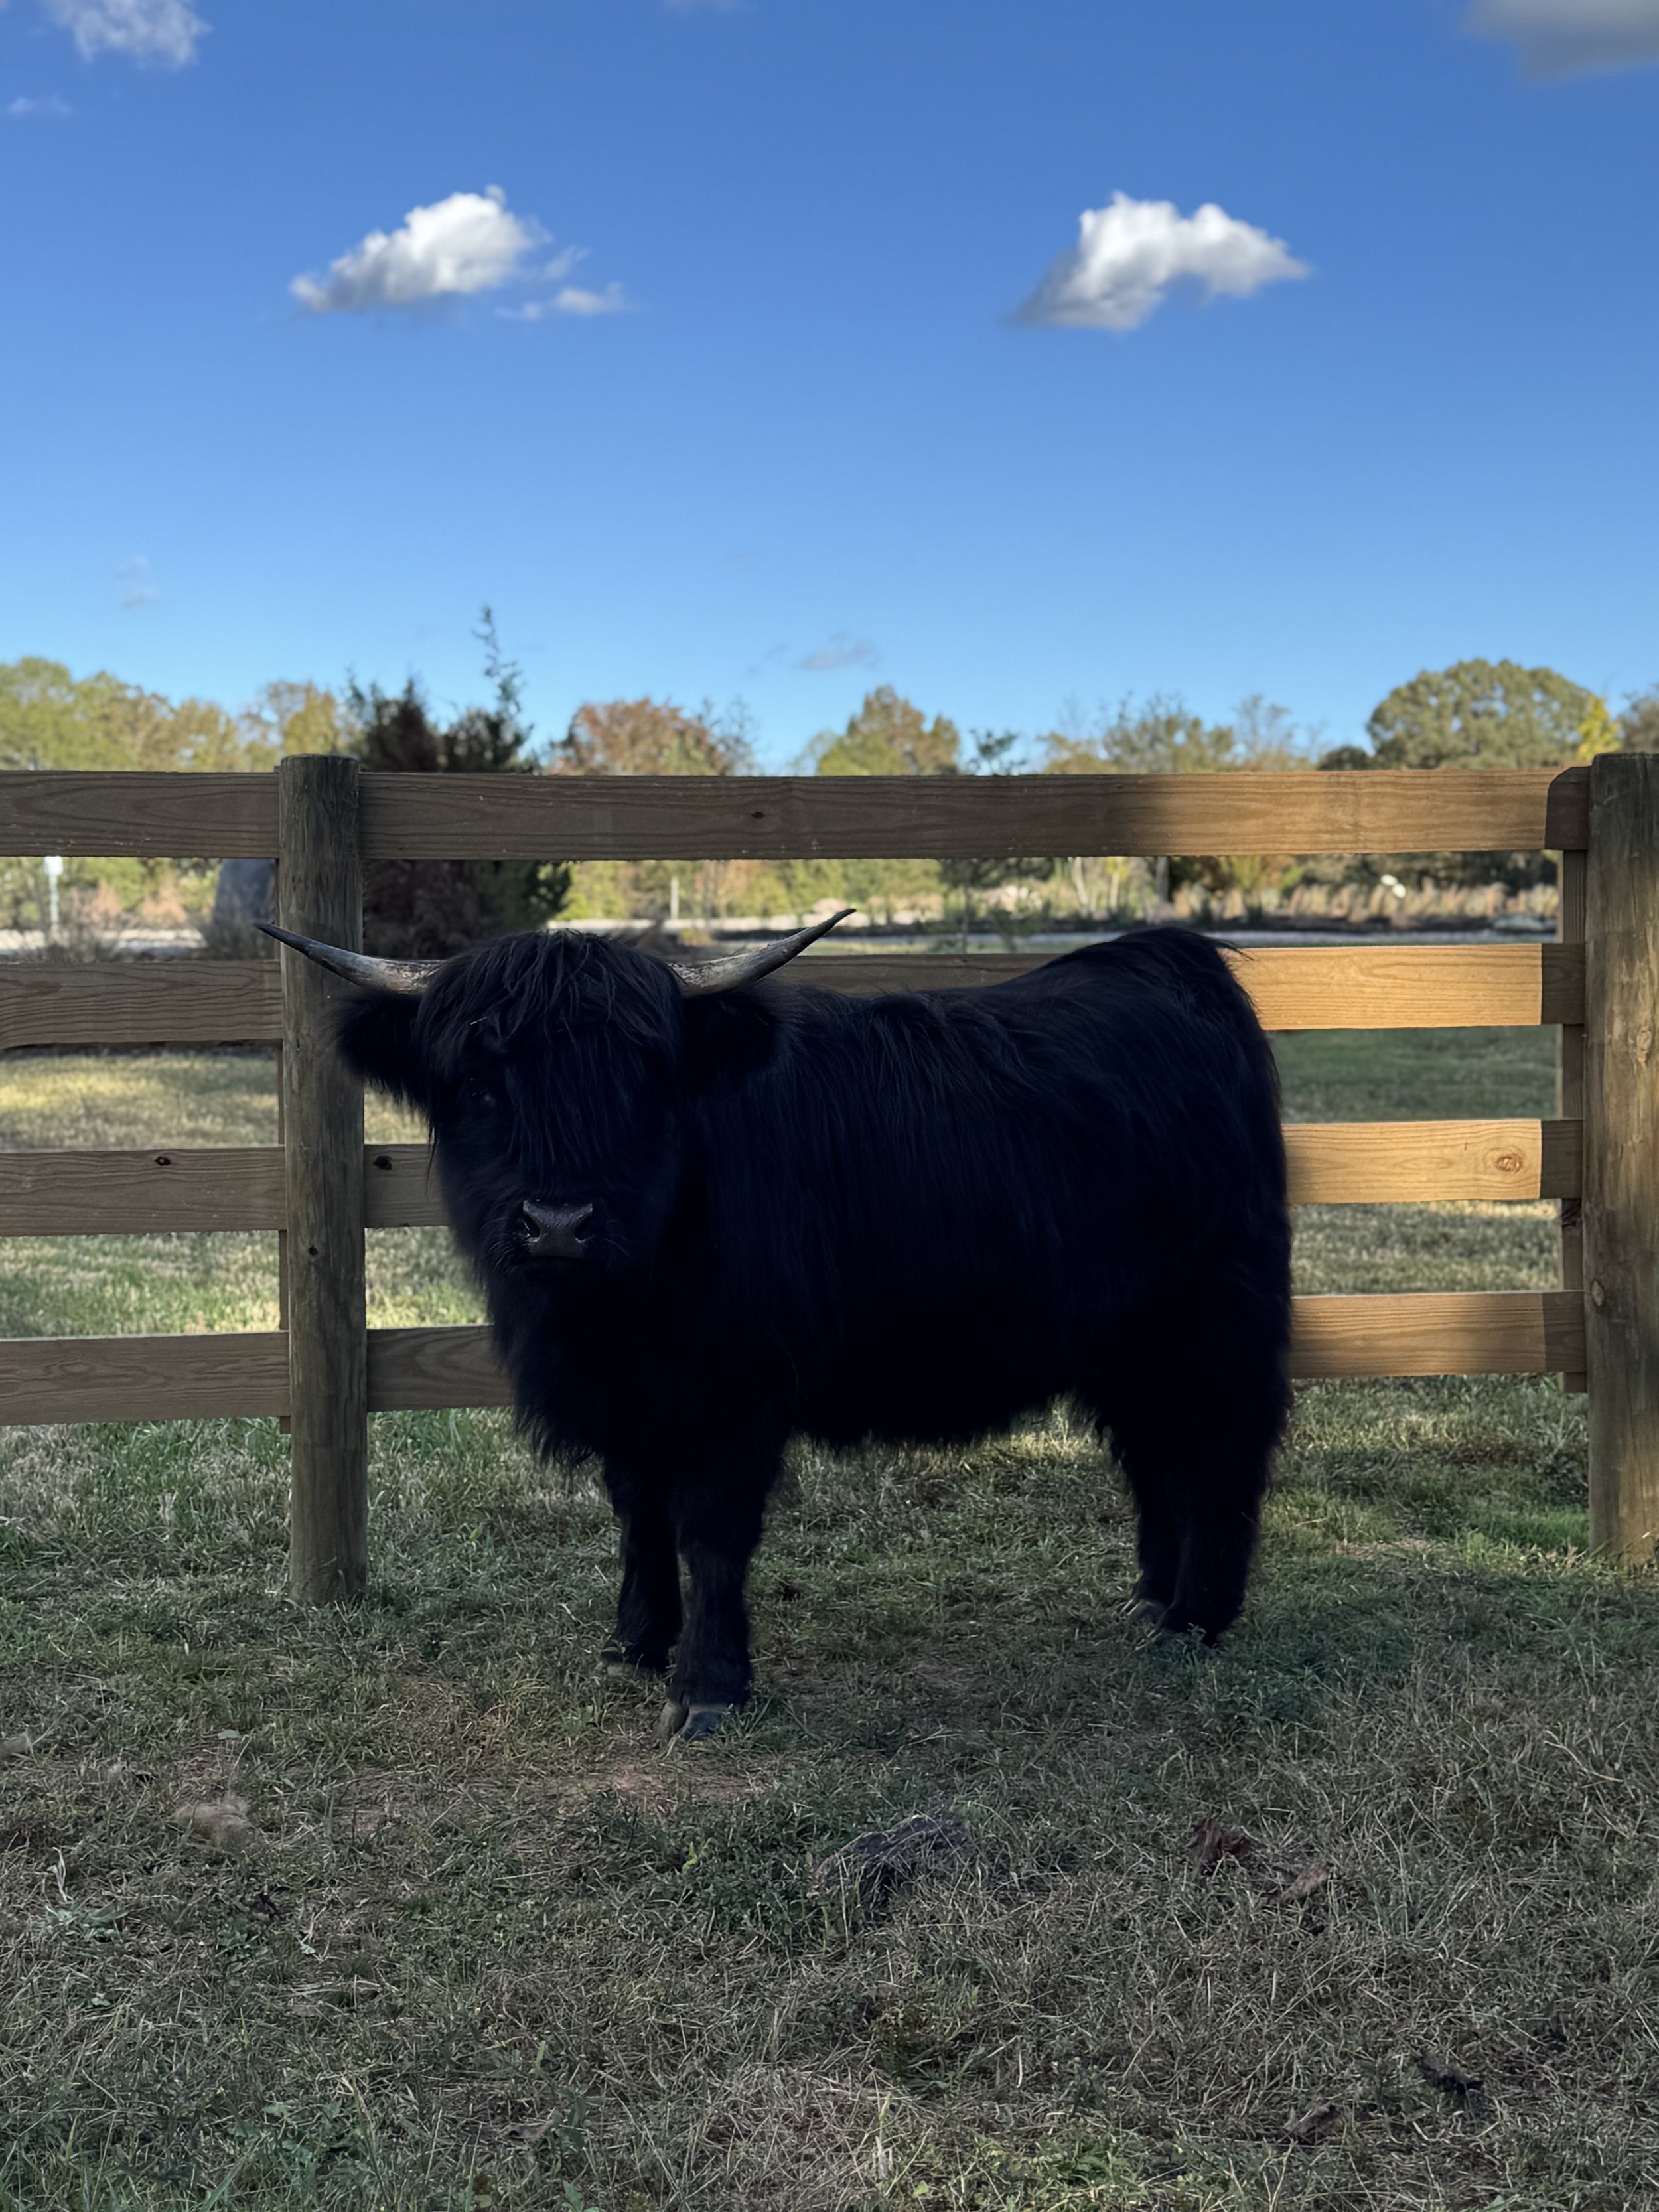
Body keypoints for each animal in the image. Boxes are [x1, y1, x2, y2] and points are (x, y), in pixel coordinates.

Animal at [265, 916, 1291, 1741]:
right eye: (481, 1085)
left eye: (641, 1082)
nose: (558, 1223)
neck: (609, 1314)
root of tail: (1160, 959)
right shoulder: (630, 1404)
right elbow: (637, 1516)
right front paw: (636, 1642)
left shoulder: (732, 1395)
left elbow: (709, 1533)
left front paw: (708, 1688)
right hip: (1127, 1346)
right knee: (1154, 1462)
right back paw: (1148, 1603)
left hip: (1214, 1324)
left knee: (1219, 1459)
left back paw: (1196, 1619)